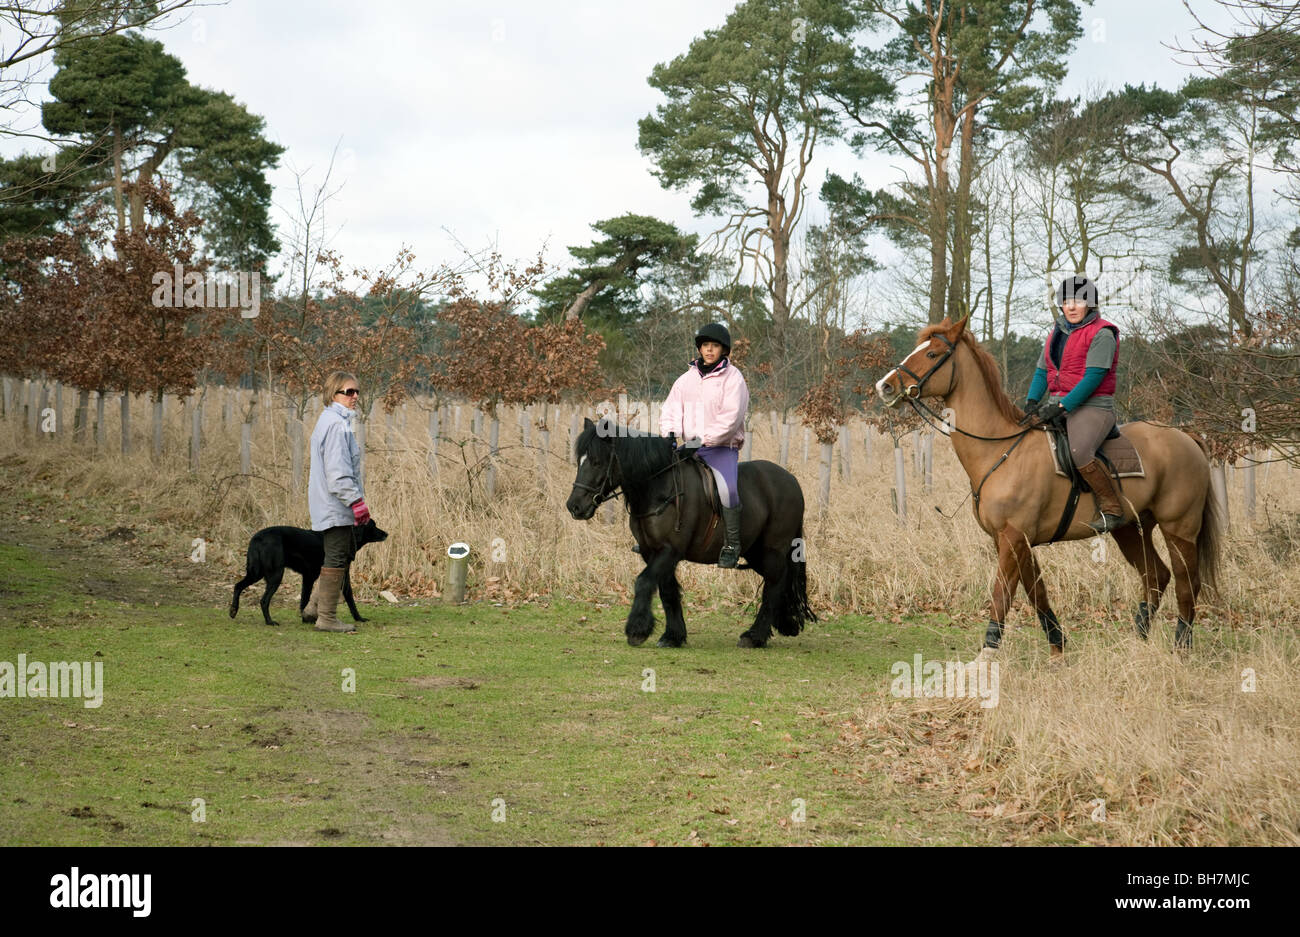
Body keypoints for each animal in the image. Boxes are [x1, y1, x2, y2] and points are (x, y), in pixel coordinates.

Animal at [231, 522, 387, 623]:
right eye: (373, 525)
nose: (387, 533)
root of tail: (257, 538)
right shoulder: (315, 576)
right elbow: (348, 598)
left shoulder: (309, 577)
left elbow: (305, 599)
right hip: (275, 574)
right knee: (264, 600)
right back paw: (269, 621)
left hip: (256, 572)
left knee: (237, 586)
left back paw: (233, 610)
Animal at [566, 415, 811, 644]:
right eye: (580, 461)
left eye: (597, 462)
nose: (574, 506)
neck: (659, 490)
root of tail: (791, 480)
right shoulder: (651, 551)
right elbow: (667, 590)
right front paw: (673, 636)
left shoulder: (669, 550)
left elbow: (644, 582)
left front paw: (637, 630)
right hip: (756, 552)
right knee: (777, 580)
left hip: (772, 550)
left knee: (775, 582)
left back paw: (754, 636)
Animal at [873, 314, 1216, 649]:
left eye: (932, 354)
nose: (884, 386)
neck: (1001, 449)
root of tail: (1185, 436)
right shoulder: (1012, 540)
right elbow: (1036, 593)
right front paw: (1057, 644)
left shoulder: (1014, 538)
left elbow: (1002, 594)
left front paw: (988, 652)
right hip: (1131, 529)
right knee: (1156, 577)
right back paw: (1139, 642)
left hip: (1179, 529)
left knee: (1187, 583)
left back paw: (1181, 646)